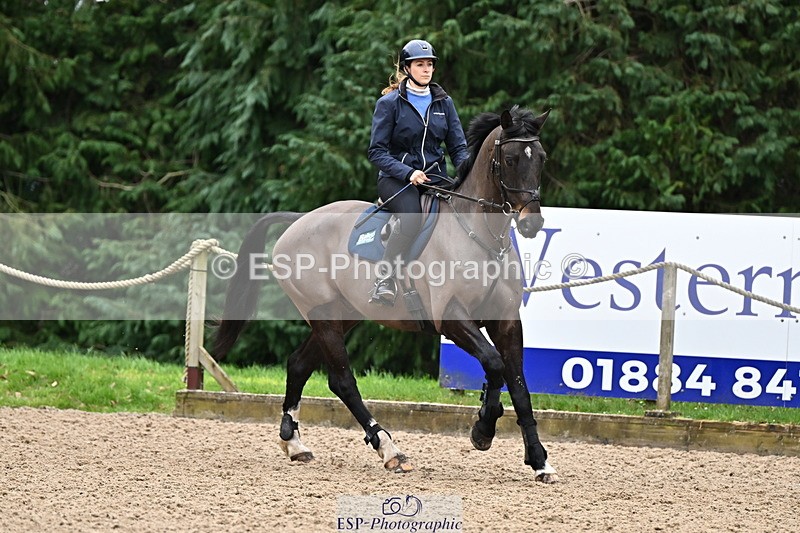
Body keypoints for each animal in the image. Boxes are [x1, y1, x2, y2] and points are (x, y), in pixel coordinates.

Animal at [214, 106, 558, 483]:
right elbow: (494, 364)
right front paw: (483, 428)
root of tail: (299, 221)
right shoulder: (451, 318)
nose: (531, 223)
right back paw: (389, 449)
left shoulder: (506, 321)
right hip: (323, 315)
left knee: (299, 364)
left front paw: (539, 460)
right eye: (510, 159)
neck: (478, 234)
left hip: (343, 314)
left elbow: (519, 386)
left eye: (541, 157)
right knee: (342, 380)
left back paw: (294, 443)